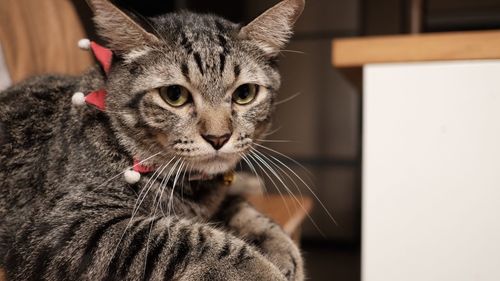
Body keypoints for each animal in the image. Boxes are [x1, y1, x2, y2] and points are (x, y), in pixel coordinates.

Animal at [0, 0, 304, 278]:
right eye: (174, 95)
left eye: (244, 94)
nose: (218, 137)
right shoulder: (70, 225)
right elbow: (191, 239)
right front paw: (262, 269)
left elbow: (242, 209)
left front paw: (279, 245)